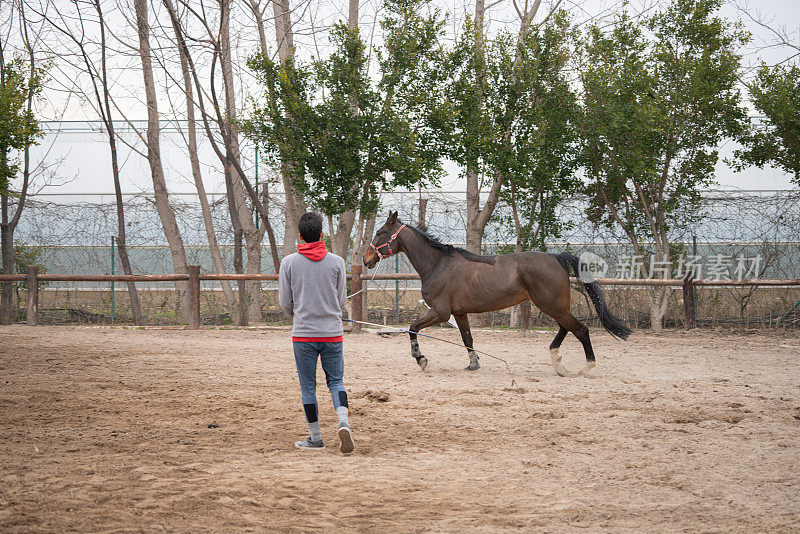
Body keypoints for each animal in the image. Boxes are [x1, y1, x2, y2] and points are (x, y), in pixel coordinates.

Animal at [362, 213, 632, 376]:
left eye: (381, 232)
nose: (367, 259)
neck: (438, 264)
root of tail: (555, 257)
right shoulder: (459, 314)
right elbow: (468, 339)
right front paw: (473, 365)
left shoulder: (440, 312)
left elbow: (412, 327)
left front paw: (421, 359)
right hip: (553, 306)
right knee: (567, 328)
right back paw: (557, 360)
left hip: (551, 305)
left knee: (580, 330)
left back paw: (586, 367)